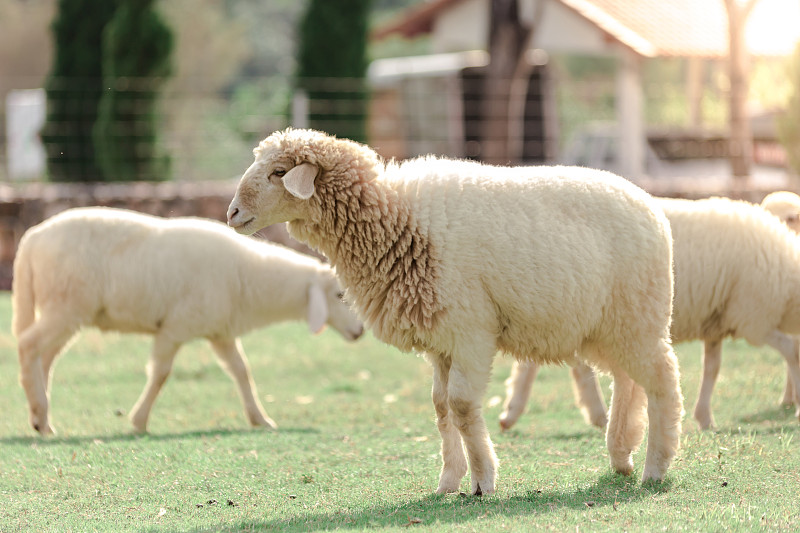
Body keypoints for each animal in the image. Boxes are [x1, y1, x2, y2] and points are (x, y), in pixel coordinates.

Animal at [11, 206, 362, 434]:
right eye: (339, 295)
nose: (360, 331)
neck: (247, 277)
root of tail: (30, 239)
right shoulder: (175, 328)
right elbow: (161, 374)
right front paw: (139, 421)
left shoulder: (220, 332)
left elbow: (241, 371)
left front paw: (260, 419)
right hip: (65, 306)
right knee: (28, 346)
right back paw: (41, 415)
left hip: (66, 311)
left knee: (45, 359)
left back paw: (41, 419)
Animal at [228, 127, 684, 492]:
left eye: (278, 173)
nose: (231, 213)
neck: (394, 219)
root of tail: (652, 207)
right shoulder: (439, 339)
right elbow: (441, 407)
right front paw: (449, 480)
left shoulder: (470, 332)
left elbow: (462, 406)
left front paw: (483, 479)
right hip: (606, 327)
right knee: (628, 381)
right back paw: (621, 456)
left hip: (639, 316)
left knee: (662, 380)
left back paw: (654, 468)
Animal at [500, 195, 800, 432]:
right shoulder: (753, 317)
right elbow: (791, 351)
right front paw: (795, 404)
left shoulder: (717, 321)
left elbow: (712, 369)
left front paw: (704, 417)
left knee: (541, 361)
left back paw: (517, 412)